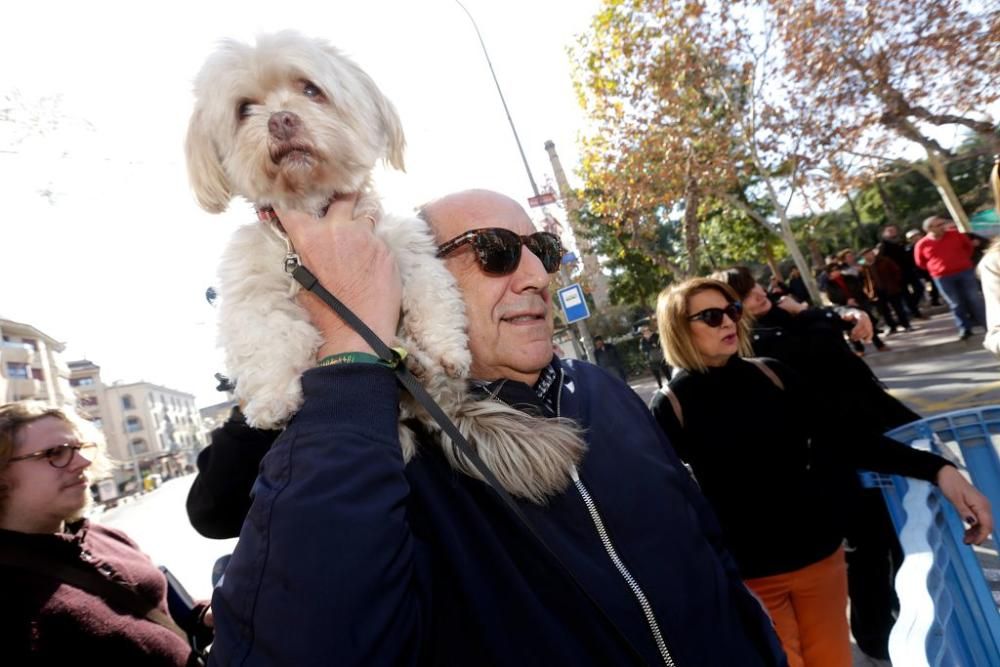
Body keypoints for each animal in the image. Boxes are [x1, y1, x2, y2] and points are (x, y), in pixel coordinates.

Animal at [186, 31, 584, 500]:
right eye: (245, 108)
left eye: (310, 90)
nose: (281, 120)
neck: (315, 212)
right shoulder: (253, 285)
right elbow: (268, 335)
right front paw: (273, 400)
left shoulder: (406, 250)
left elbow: (433, 297)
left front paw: (448, 349)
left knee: (431, 389)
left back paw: (418, 363)